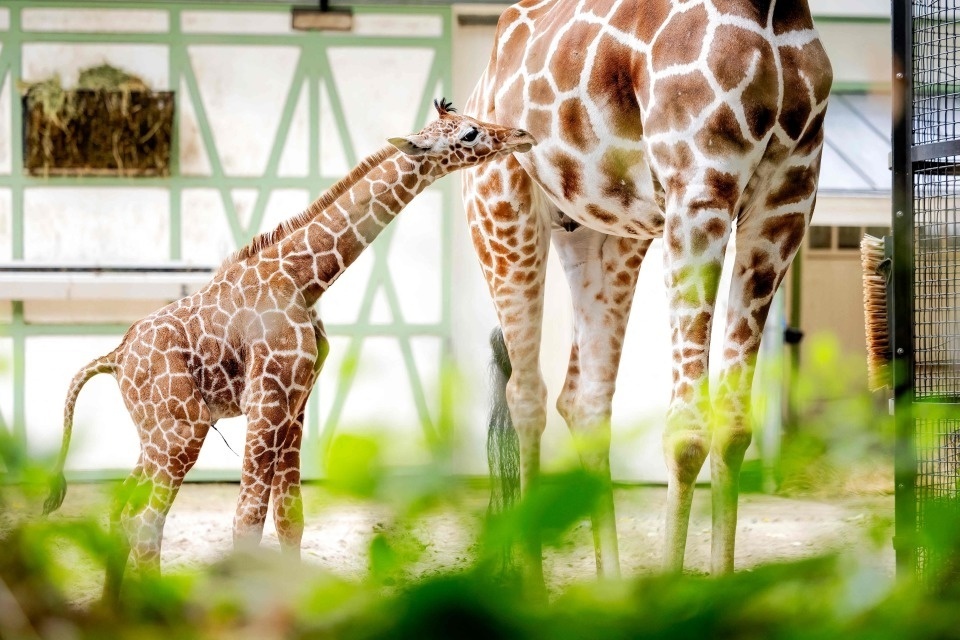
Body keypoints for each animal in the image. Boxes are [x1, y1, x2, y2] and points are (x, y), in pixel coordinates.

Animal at [45, 100, 536, 596]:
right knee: (145, 520)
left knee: (121, 507)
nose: (522, 135)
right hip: (182, 429)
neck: (304, 281)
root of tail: (114, 358)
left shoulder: (297, 402)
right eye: (470, 133)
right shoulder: (268, 398)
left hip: (156, 432)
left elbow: (289, 517)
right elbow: (247, 520)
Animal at [462, 0, 828, 584]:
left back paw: (610, 589)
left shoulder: (787, 203)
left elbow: (734, 427)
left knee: (584, 401)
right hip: (500, 210)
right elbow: (686, 431)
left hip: (604, 236)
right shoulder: (700, 186)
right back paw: (534, 591)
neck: (773, 12)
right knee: (526, 395)